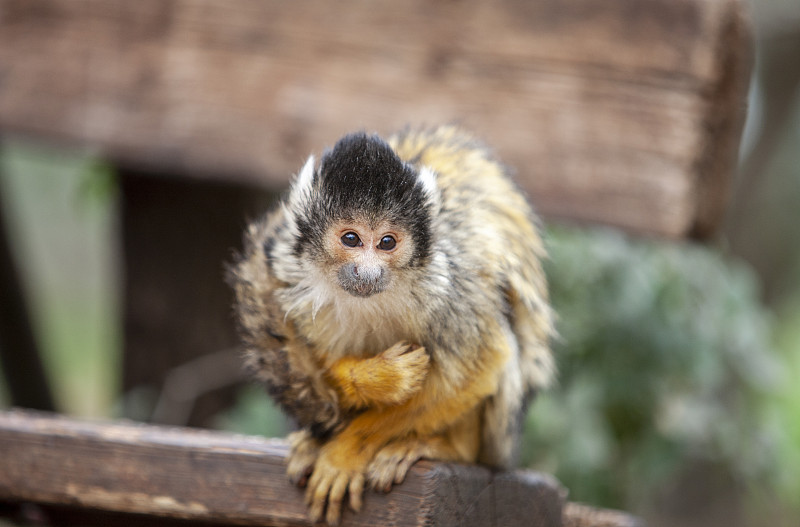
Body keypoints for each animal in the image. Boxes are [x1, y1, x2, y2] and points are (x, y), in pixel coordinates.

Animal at [230, 126, 556, 524]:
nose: (368, 271)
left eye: (388, 242)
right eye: (351, 239)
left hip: (500, 438)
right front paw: (374, 379)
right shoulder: (290, 277)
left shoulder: (449, 284)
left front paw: (347, 449)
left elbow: (481, 367)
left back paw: (445, 447)